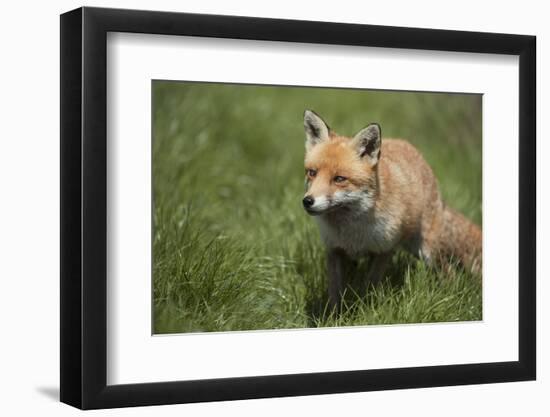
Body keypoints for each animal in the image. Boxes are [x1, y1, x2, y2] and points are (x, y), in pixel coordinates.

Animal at [302, 109, 484, 306]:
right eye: (312, 173)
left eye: (339, 179)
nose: (308, 201)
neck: (353, 231)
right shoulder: (335, 250)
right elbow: (335, 293)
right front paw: (335, 314)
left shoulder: (384, 249)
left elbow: (369, 285)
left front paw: (366, 307)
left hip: (427, 250)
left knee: (449, 272)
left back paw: (449, 297)